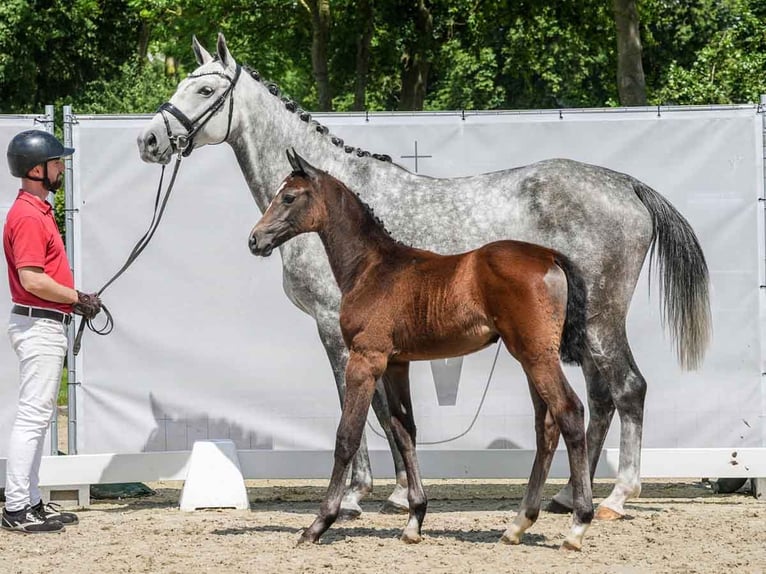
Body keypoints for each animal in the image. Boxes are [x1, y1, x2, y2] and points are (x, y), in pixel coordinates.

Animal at [250, 151, 592, 552]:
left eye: (289, 197)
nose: (255, 239)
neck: (372, 268)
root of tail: (551, 256)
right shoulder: (397, 363)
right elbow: (405, 430)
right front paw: (414, 519)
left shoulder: (366, 359)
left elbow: (347, 437)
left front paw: (319, 524)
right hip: (530, 356)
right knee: (546, 426)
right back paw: (517, 524)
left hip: (536, 355)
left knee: (570, 412)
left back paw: (577, 525)